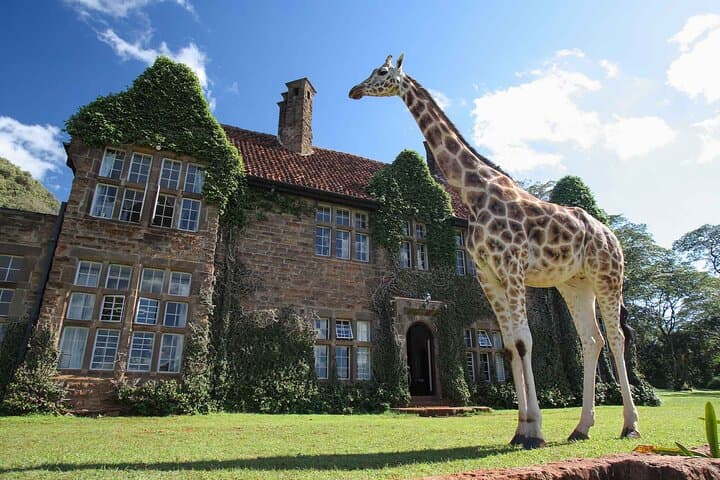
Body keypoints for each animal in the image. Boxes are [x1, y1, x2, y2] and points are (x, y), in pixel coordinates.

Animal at [349, 54, 640, 449]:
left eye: (381, 72)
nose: (354, 90)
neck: (474, 192)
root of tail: (614, 236)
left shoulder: (512, 267)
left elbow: (523, 341)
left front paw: (535, 432)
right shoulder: (488, 276)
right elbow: (508, 345)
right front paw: (522, 429)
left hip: (608, 277)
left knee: (616, 337)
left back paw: (630, 425)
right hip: (573, 284)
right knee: (591, 340)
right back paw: (581, 427)